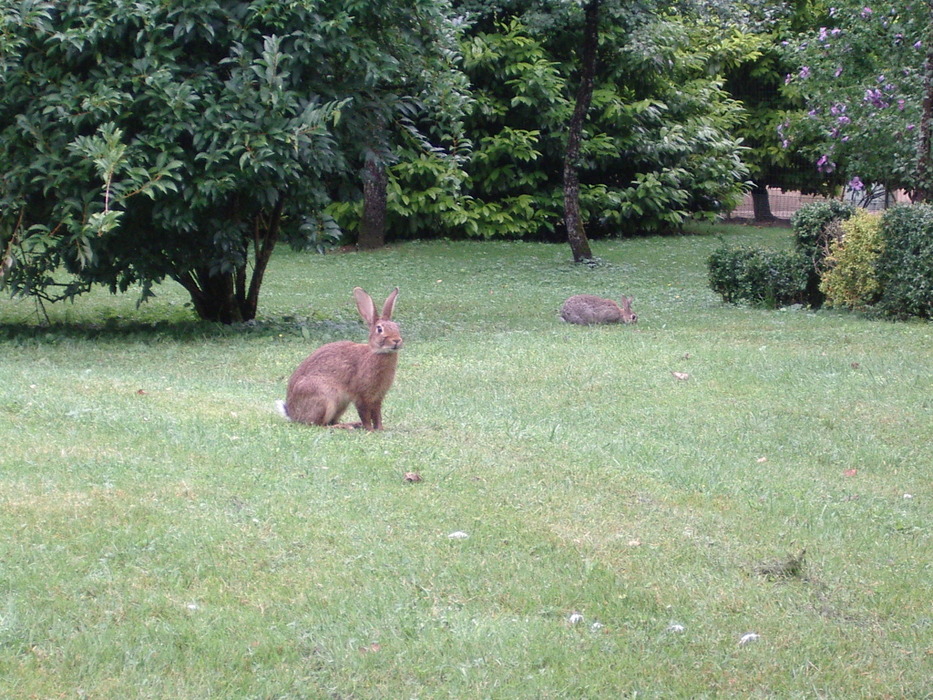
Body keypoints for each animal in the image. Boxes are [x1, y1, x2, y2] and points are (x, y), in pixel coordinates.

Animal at [276, 288, 400, 430]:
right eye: (379, 329)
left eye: (397, 327)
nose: (397, 340)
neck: (377, 353)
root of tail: (294, 415)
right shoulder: (360, 396)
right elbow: (365, 414)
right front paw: (369, 430)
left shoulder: (377, 398)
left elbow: (377, 415)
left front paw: (380, 429)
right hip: (325, 399)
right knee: (319, 425)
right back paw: (346, 427)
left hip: (341, 404)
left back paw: (352, 424)